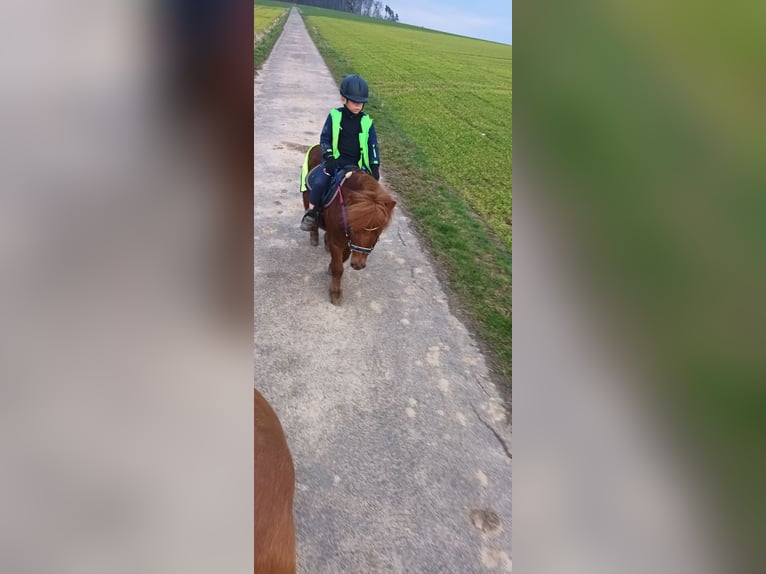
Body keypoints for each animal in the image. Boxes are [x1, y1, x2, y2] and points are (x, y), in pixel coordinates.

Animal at [302, 145, 396, 306]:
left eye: (378, 232)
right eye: (354, 229)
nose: (358, 265)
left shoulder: (347, 243)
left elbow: (342, 259)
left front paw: (331, 267)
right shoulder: (338, 242)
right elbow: (338, 268)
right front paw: (335, 294)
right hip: (306, 197)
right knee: (312, 215)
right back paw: (313, 233)